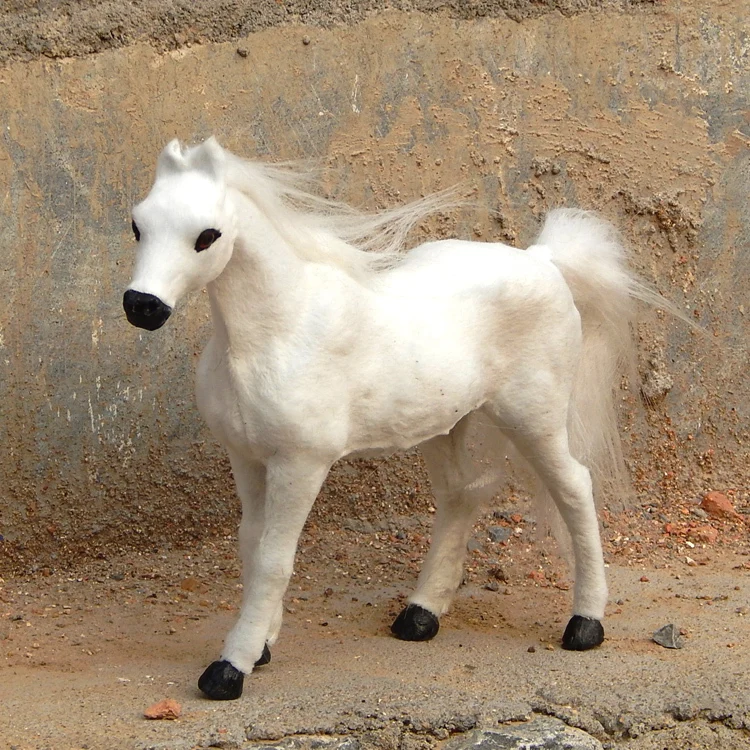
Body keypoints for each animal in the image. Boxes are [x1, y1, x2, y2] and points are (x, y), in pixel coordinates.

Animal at [123, 137, 663, 700]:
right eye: (138, 225)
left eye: (207, 236)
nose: (142, 306)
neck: (280, 330)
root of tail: (543, 260)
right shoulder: (246, 457)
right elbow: (253, 545)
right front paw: (261, 645)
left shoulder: (301, 463)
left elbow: (274, 559)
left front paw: (231, 667)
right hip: (446, 424)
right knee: (459, 494)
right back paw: (421, 615)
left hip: (533, 418)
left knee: (575, 488)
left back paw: (585, 624)